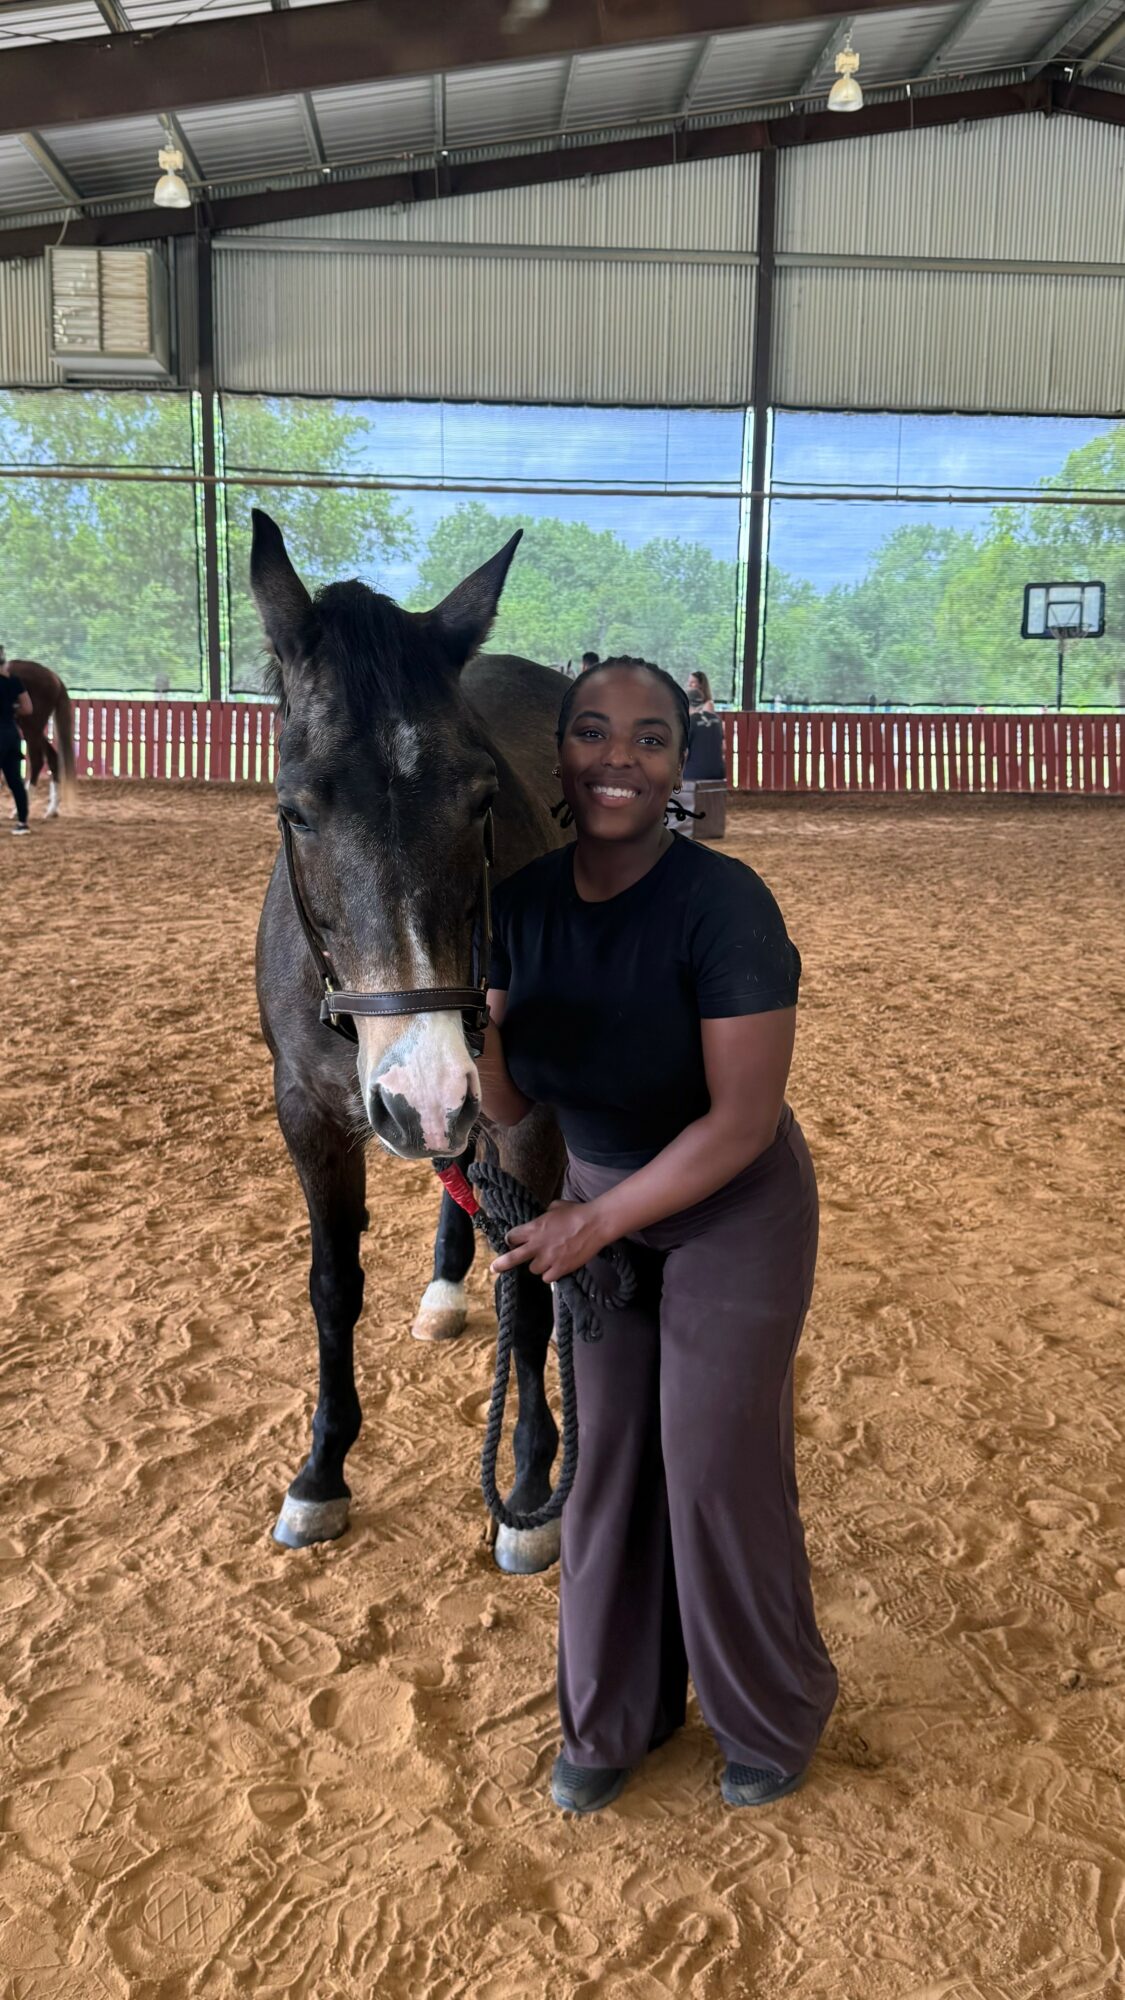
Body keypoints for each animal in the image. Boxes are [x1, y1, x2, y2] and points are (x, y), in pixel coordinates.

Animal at [4, 658, 76, 818]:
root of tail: (54, 677)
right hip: (33, 729)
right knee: (52, 758)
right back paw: (51, 810)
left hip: (31, 726)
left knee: (37, 761)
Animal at [251, 509, 570, 1577]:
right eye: (294, 809)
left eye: (481, 799)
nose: (422, 1092)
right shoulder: (310, 1117)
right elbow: (331, 1287)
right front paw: (320, 1476)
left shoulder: (527, 1115)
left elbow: (535, 1281)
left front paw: (530, 1492)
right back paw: (441, 1289)